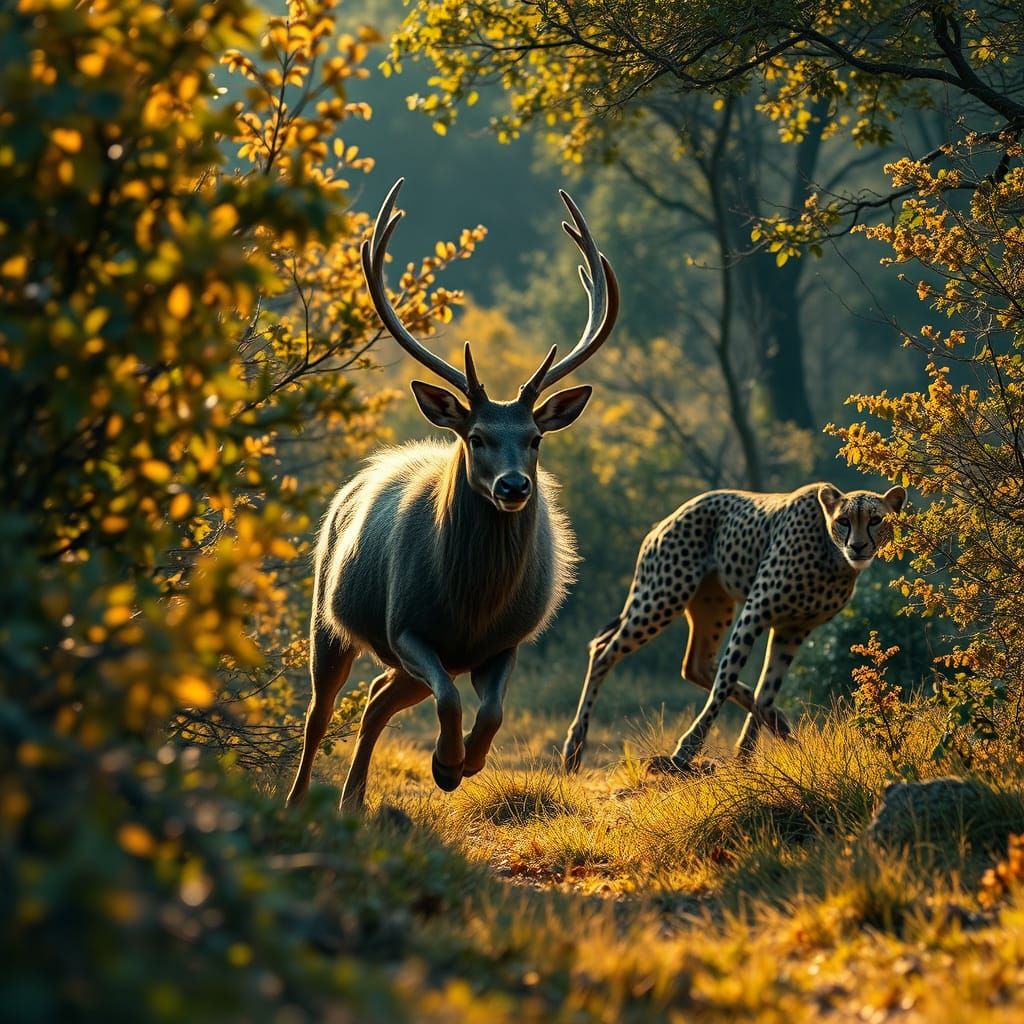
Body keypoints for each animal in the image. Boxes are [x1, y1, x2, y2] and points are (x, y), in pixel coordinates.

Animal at [285, 179, 619, 811]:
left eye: (535, 438)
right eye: (477, 435)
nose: (513, 486)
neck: (472, 607)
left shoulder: (507, 641)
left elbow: (492, 710)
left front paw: (467, 763)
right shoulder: (405, 626)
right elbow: (451, 699)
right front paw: (445, 764)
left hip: (398, 660)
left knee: (377, 698)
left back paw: (353, 800)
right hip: (327, 617)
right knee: (321, 711)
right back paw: (298, 801)